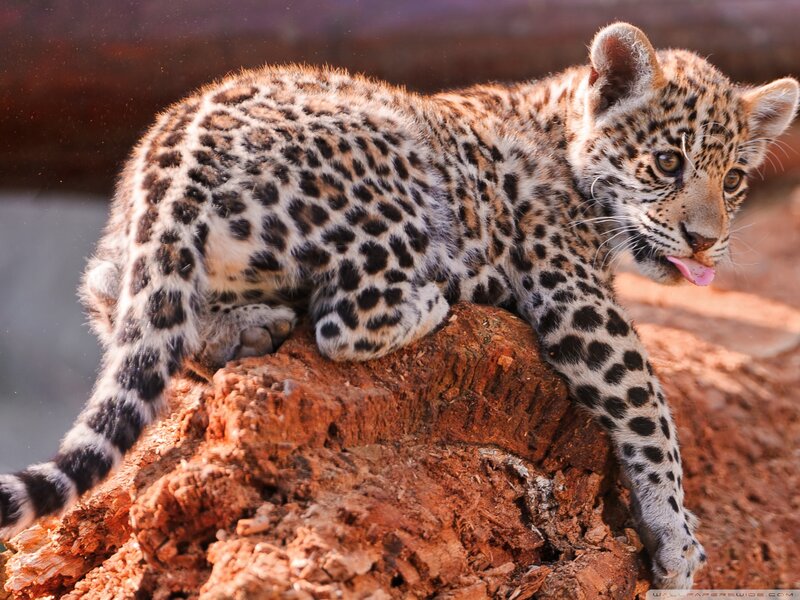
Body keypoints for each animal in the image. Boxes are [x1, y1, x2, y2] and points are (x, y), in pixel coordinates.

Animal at [0, 22, 796, 590]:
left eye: (733, 181)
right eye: (666, 162)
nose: (705, 243)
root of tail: (175, 152)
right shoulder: (573, 292)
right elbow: (648, 406)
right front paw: (675, 539)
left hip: (133, 259)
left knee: (126, 304)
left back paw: (244, 331)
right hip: (404, 183)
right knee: (344, 321)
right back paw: (434, 300)